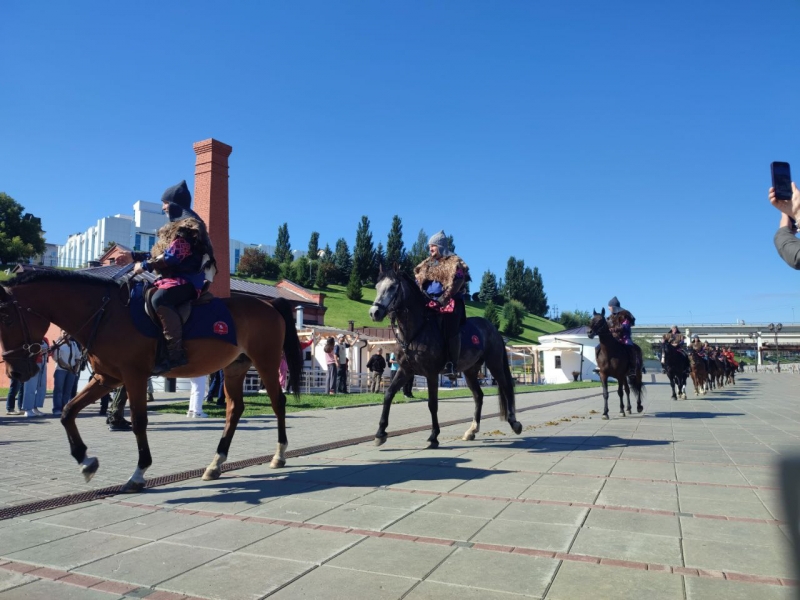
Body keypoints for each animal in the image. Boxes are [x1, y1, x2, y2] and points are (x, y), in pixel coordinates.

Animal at [0, 270, 300, 492]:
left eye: (7, 320)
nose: (15, 373)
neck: (106, 314)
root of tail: (269, 304)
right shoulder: (107, 378)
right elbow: (67, 411)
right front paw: (85, 461)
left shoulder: (133, 376)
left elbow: (139, 422)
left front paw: (138, 472)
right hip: (235, 369)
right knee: (234, 409)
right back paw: (216, 463)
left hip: (266, 362)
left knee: (278, 402)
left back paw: (279, 454)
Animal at [368, 264, 520, 448]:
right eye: (377, 287)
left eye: (391, 287)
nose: (374, 312)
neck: (416, 331)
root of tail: (493, 329)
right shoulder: (405, 371)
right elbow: (388, 394)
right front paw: (380, 433)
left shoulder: (431, 373)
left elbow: (432, 404)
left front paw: (434, 436)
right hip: (470, 371)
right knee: (479, 396)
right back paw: (472, 430)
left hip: (494, 363)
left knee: (506, 387)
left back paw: (514, 423)